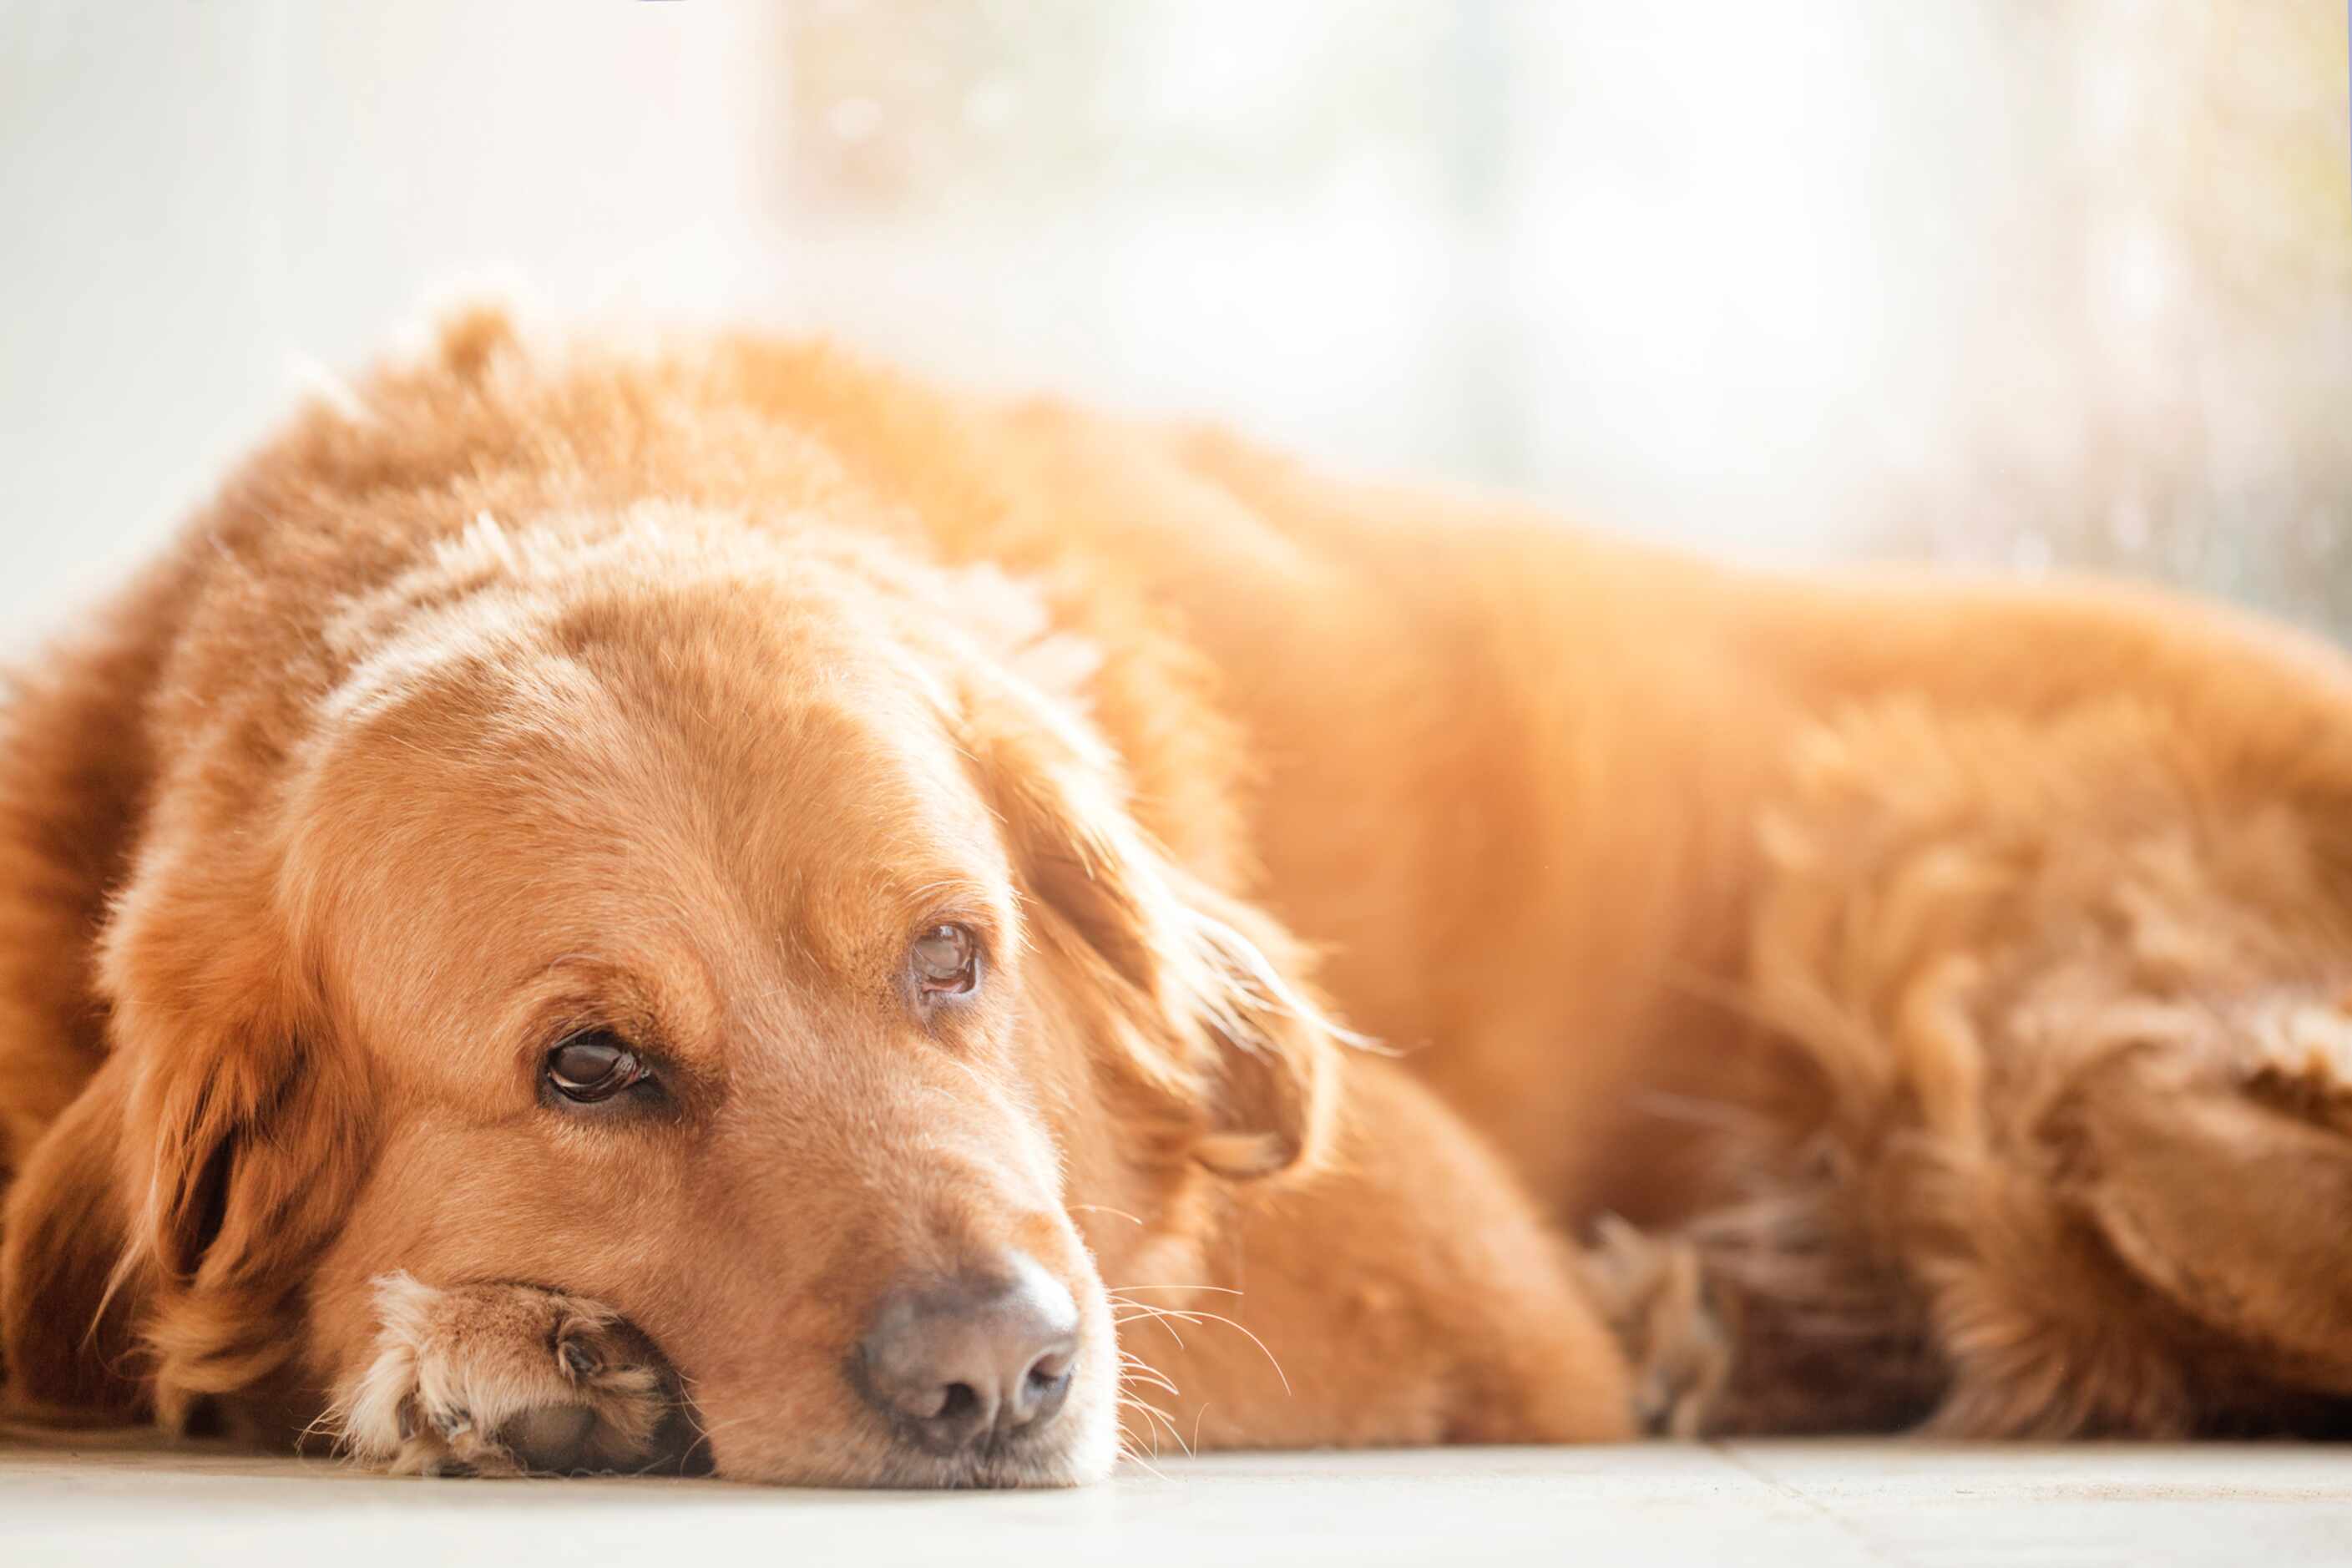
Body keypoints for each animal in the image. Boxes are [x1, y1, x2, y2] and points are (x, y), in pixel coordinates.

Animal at [0, 310, 2342, 1485]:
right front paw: (487, 1345)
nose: (998, 1378)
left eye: (952, 954)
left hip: (2017, 1030)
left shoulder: (1434, 1265)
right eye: (588, 1067)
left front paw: (469, 1352)